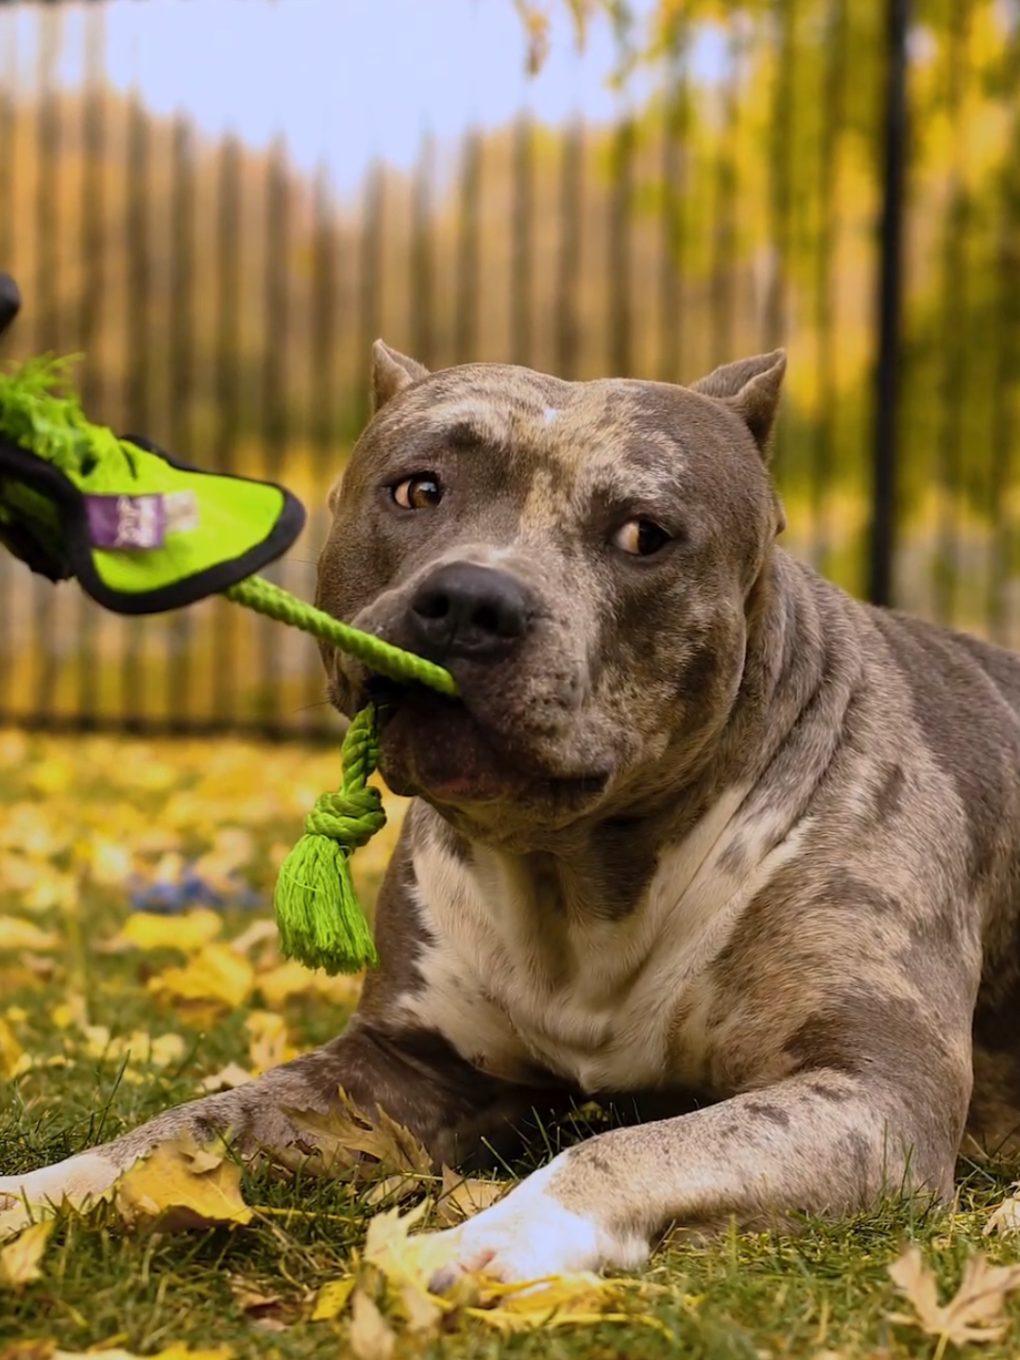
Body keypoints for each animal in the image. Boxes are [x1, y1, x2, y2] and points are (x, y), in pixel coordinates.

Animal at [1, 342, 1020, 1283]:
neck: (576, 875)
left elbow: (622, 1148)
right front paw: (37, 1193)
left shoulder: (876, 1097)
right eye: (418, 490)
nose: (470, 600)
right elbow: (188, 1126)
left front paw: (483, 1237)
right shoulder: (400, 1066)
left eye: (644, 535)